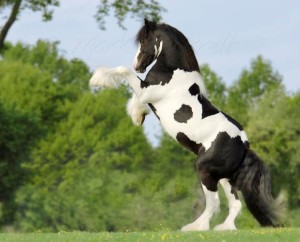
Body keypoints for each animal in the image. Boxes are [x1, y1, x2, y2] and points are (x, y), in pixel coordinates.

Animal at [89, 19, 286, 231]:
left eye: (143, 40)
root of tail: (244, 144)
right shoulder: (145, 93)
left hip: (205, 170)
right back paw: (222, 228)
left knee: (214, 203)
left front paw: (97, 79)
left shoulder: (146, 91)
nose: (138, 65)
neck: (173, 72)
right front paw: (137, 115)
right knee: (235, 204)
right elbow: (135, 96)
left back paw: (193, 227)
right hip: (224, 177)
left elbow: (123, 70)